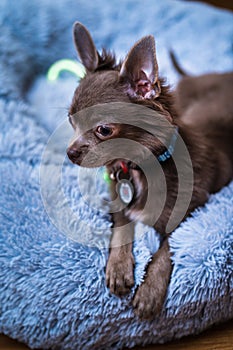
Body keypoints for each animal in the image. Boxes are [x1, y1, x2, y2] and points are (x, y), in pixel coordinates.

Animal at [67, 20, 233, 318]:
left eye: (104, 130)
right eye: (70, 121)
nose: (70, 152)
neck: (140, 167)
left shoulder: (188, 213)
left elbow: (166, 251)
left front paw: (150, 291)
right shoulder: (118, 199)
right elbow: (122, 226)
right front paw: (118, 268)